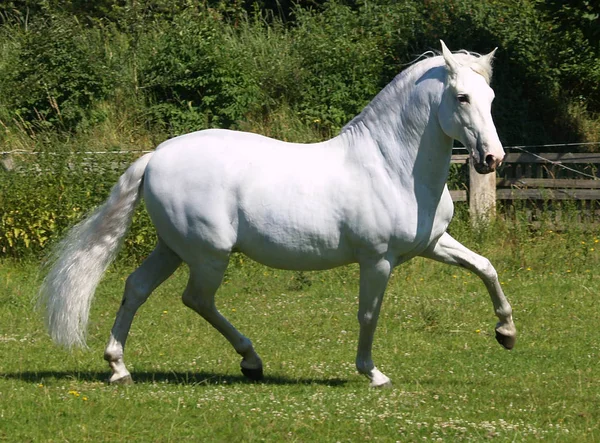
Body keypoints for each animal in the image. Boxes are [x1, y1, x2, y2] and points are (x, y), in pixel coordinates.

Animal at [37, 41, 516, 388]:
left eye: (492, 96)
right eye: (461, 97)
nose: (492, 159)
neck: (389, 166)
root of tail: (155, 156)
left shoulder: (432, 244)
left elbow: (485, 267)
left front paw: (506, 333)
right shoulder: (377, 259)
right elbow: (369, 313)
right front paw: (373, 374)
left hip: (172, 248)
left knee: (136, 289)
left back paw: (120, 367)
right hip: (208, 255)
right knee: (196, 299)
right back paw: (250, 360)